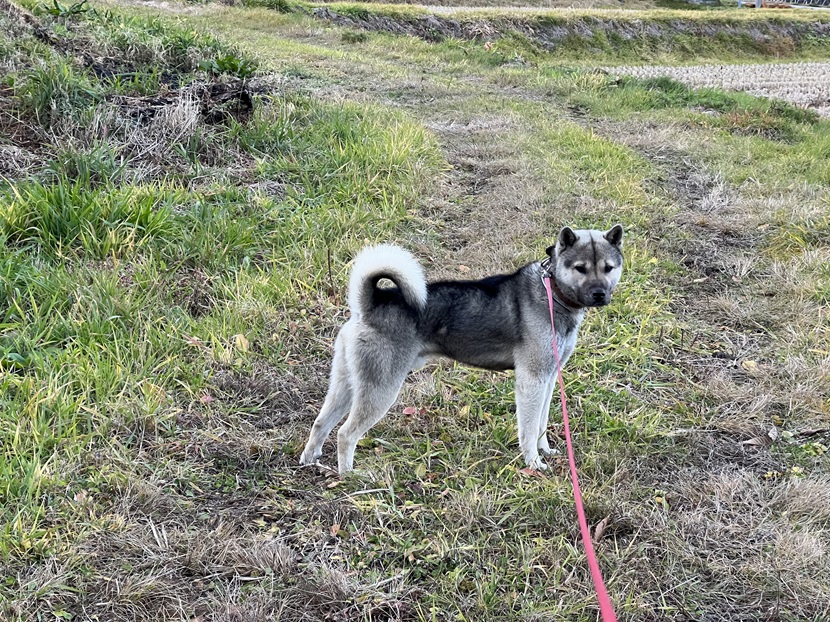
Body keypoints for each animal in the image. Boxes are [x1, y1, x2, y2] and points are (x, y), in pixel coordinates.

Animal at [300, 227, 624, 476]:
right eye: (580, 268)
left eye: (608, 268)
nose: (599, 294)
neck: (552, 292)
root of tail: (369, 304)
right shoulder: (532, 380)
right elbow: (529, 429)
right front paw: (533, 463)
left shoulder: (548, 378)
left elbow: (542, 424)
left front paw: (545, 451)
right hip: (380, 388)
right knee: (345, 433)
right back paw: (349, 475)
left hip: (347, 383)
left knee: (321, 422)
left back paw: (309, 460)